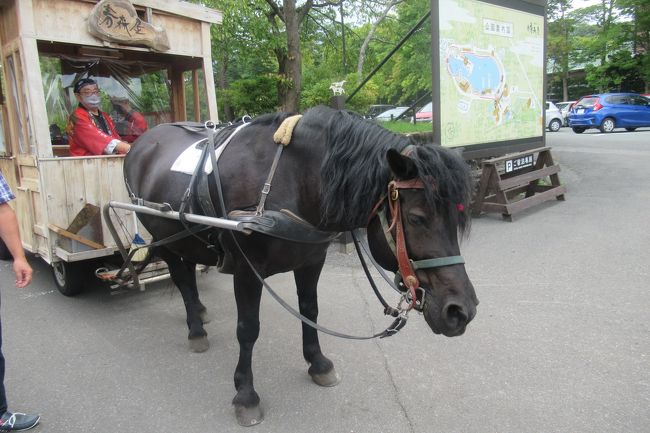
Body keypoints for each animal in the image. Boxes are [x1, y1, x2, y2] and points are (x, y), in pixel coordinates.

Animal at [123, 105, 476, 426]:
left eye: (458, 215)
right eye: (417, 218)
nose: (461, 311)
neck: (290, 180)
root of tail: (144, 142)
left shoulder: (311, 260)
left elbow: (310, 310)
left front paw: (318, 363)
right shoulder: (246, 269)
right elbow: (248, 329)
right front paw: (246, 394)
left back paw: (199, 312)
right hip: (164, 238)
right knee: (182, 278)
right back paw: (195, 329)